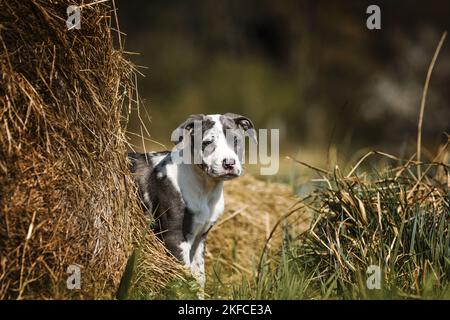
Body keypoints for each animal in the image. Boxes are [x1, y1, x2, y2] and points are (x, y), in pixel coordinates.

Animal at [129, 113, 256, 288]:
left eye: (236, 140)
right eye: (207, 143)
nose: (229, 163)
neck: (206, 188)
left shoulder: (199, 238)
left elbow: (199, 277)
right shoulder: (175, 238)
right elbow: (183, 276)